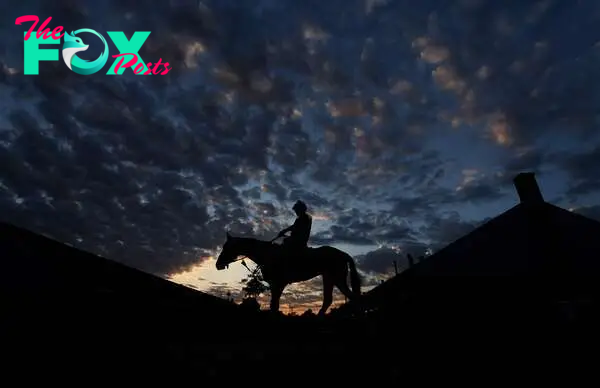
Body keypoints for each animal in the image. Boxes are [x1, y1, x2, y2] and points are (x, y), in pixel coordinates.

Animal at [216, 230, 360, 316]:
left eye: (226, 247)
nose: (217, 265)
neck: (269, 254)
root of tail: (343, 254)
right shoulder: (275, 285)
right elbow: (274, 304)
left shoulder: (278, 283)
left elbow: (274, 305)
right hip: (328, 277)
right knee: (329, 300)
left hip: (338, 278)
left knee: (352, 297)